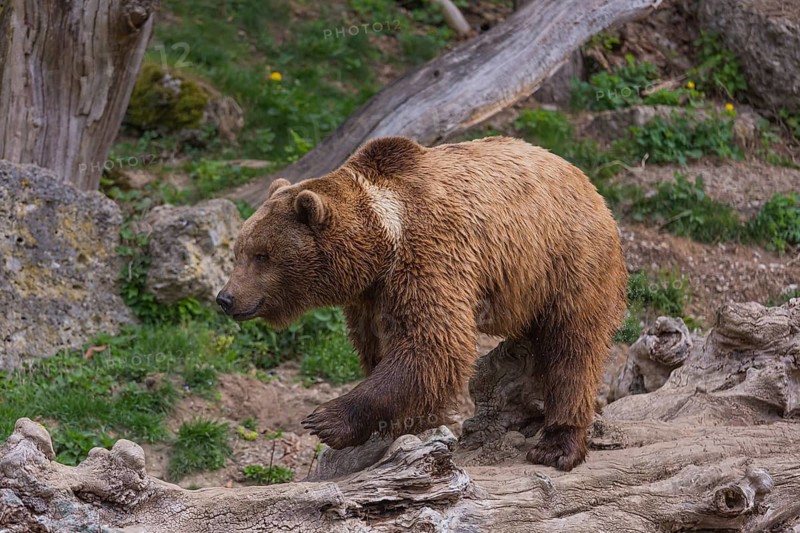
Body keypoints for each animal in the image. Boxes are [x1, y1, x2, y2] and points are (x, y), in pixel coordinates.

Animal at [217, 135, 628, 471]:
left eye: (261, 256)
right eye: (238, 251)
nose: (226, 298)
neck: (382, 242)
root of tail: (585, 180)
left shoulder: (429, 253)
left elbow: (432, 342)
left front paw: (326, 420)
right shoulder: (372, 295)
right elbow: (379, 346)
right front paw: (406, 424)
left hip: (568, 259)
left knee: (572, 346)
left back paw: (557, 445)